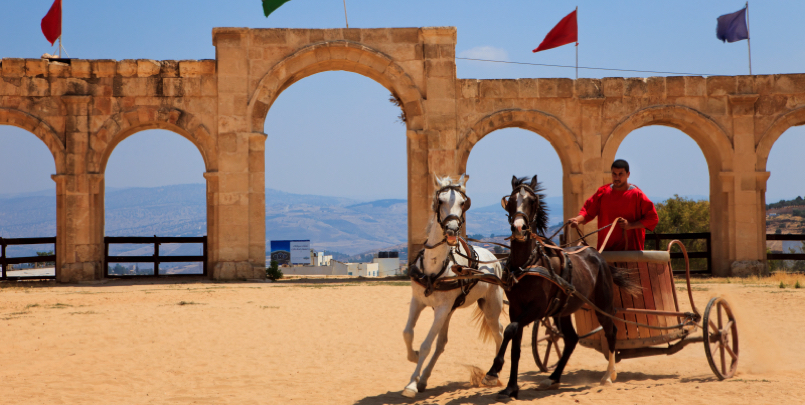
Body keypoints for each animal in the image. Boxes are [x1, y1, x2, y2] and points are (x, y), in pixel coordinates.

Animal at [400, 174, 502, 398]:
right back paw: (424, 379)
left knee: (499, 331)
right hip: (450, 312)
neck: (435, 266)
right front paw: (413, 357)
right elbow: (408, 333)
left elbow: (426, 344)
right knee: (441, 343)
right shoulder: (418, 301)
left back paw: (495, 375)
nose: (452, 230)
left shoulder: (442, 308)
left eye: (463, 203)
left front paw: (411, 384)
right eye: (440, 200)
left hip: (490, 306)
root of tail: (494, 258)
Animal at [480, 175, 636, 400]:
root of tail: (597, 254)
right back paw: (552, 378)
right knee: (571, 339)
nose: (519, 228)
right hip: (562, 312)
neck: (527, 264)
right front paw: (510, 388)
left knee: (611, 331)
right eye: (510, 200)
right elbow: (515, 345)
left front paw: (493, 372)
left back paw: (608, 375)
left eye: (532, 201)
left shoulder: (536, 309)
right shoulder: (516, 309)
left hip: (603, 305)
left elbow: (509, 330)